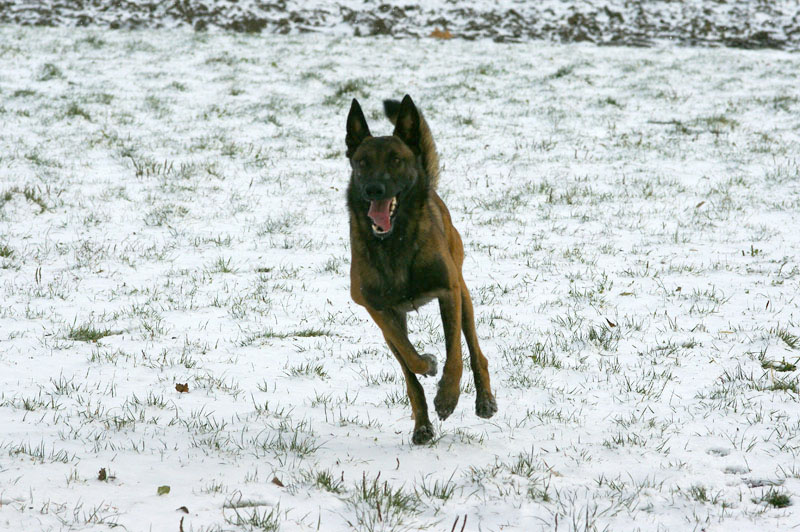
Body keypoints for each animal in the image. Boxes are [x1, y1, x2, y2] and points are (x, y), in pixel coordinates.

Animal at [345, 95, 497, 444]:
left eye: (396, 160)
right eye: (362, 162)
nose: (374, 189)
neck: (395, 242)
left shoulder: (449, 292)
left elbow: (455, 354)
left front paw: (448, 397)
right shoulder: (376, 308)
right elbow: (408, 358)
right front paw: (426, 364)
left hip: (463, 294)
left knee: (474, 350)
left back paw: (484, 399)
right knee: (407, 370)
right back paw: (423, 426)